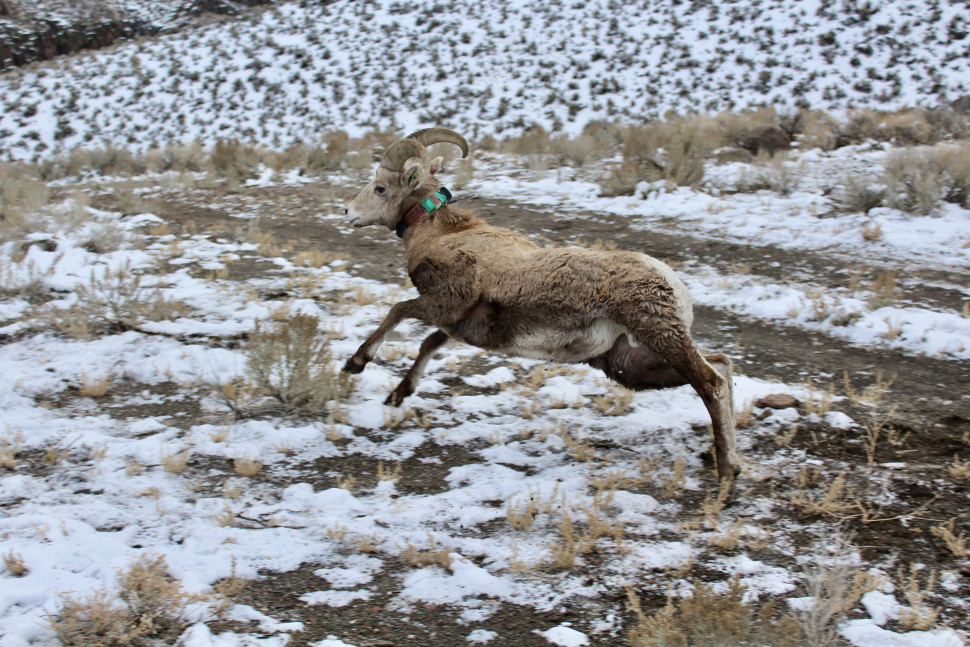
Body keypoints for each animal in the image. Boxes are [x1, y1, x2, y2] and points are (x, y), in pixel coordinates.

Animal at [342, 128, 741, 493]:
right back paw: (715, 456)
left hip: (658, 335)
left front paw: (355, 364)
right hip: (629, 363)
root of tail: (674, 284)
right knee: (721, 365)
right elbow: (428, 344)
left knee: (712, 384)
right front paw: (398, 395)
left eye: (380, 188)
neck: (441, 235)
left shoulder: (442, 303)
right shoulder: (452, 323)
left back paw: (726, 473)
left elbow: (397, 311)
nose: (347, 212)